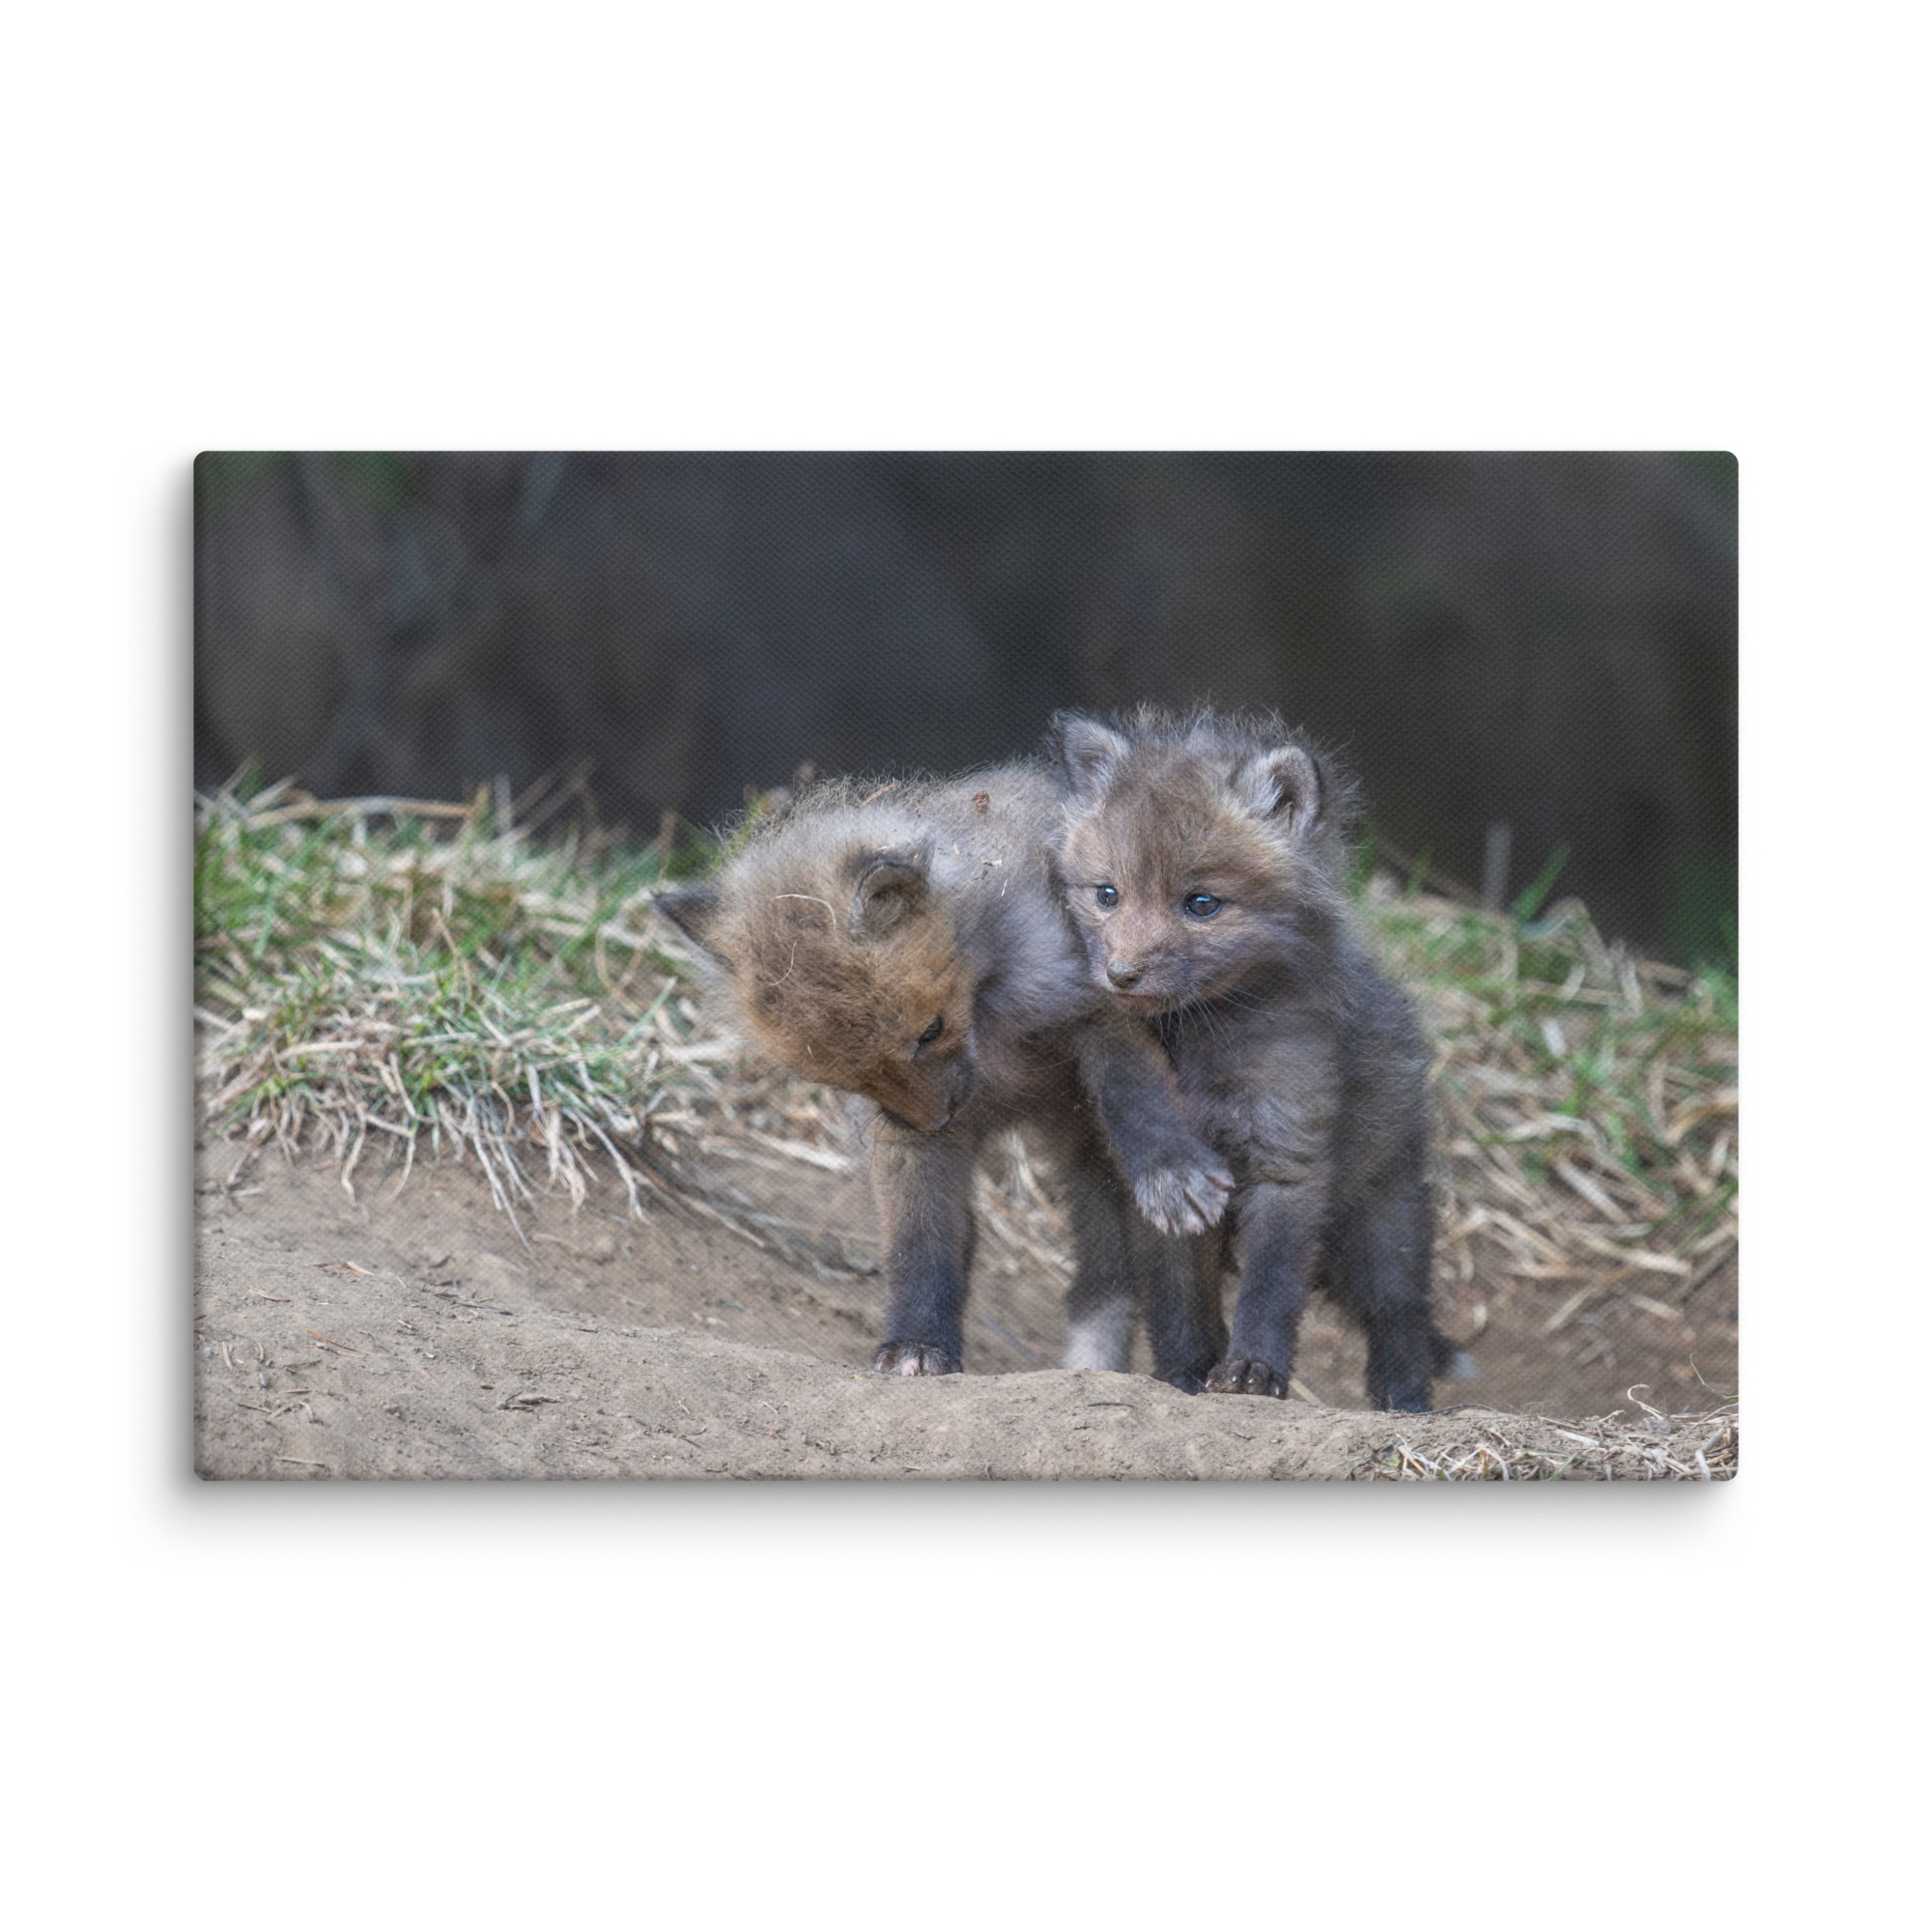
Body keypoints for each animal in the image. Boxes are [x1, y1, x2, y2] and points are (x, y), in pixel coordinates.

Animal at [652, 764, 1234, 1383]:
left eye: (930, 1031)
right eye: (845, 1078)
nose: (936, 1121)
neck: (992, 1023)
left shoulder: (1099, 1003)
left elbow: (1135, 1094)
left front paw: (1170, 1169)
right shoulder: (899, 1137)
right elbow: (920, 1243)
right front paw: (918, 1342)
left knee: (1171, 1280)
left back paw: (1189, 1372)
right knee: (1098, 1278)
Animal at [1047, 707, 1458, 1412]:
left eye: (1202, 904)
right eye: (1107, 895)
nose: (1120, 974)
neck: (1201, 1044)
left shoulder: (1287, 1157)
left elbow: (1270, 1289)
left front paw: (1252, 1373)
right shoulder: (1167, 1193)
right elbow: (1178, 1303)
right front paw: (1184, 1377)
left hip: (1383, 1223)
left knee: (1401, 1319)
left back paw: (1405, 1406)